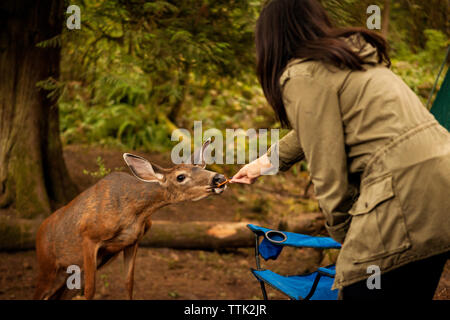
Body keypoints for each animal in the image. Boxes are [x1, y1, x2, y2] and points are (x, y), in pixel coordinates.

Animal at [33, 140, 227, 300]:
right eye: (180, 176)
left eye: (203, 167)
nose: (219, 178)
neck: (134, 212)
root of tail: (39, 230)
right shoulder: (89, 235)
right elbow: (90, 290)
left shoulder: (133, 241)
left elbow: (128, 283)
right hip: (47, 264)